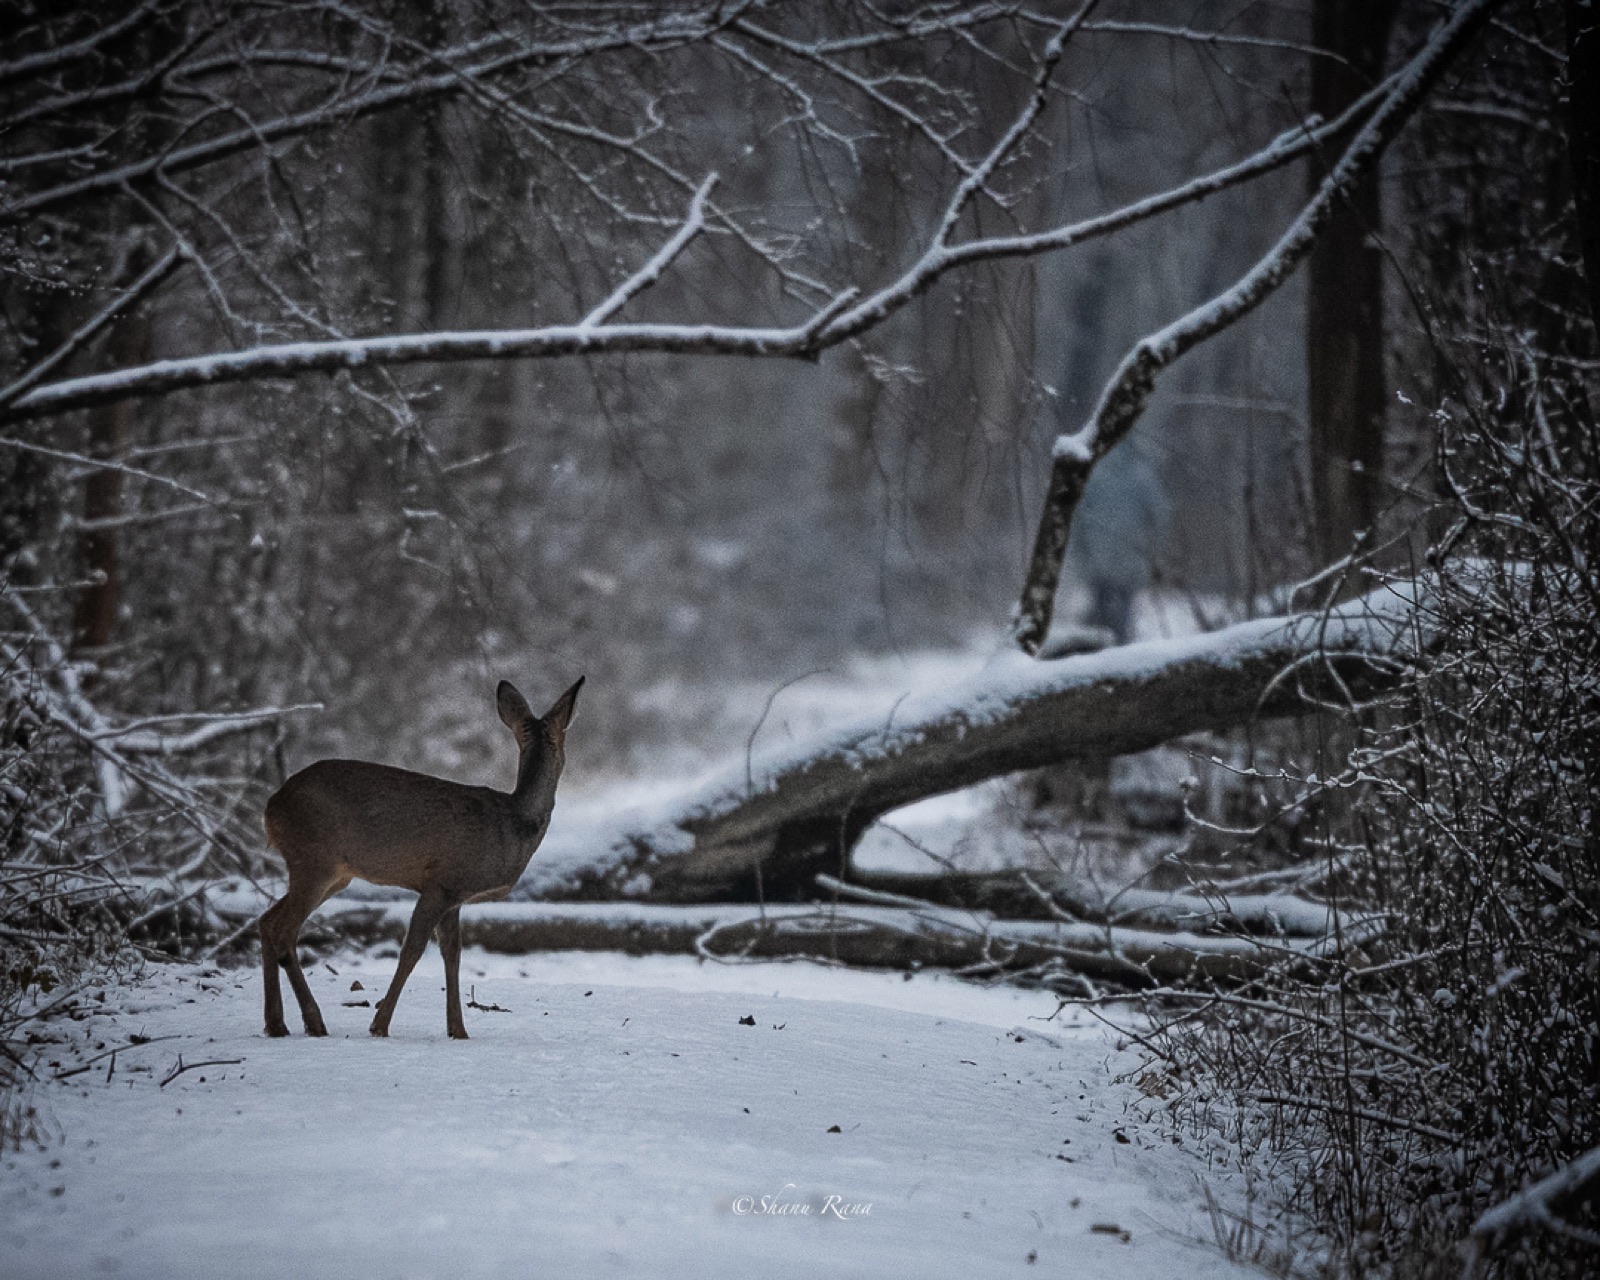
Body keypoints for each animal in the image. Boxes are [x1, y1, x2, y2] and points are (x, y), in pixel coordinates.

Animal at [258, 676, 583, 1040]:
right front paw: (380, 1025)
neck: (513, 824)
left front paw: (458, 1030)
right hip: (315, 860)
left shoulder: (456, 895)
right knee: (283, 929)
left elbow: (452, 954)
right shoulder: (439, 883)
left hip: (332, 873)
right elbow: (412, 949)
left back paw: (277, 1024)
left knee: (266, 921)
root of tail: (271, 807)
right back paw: (313, 1022)